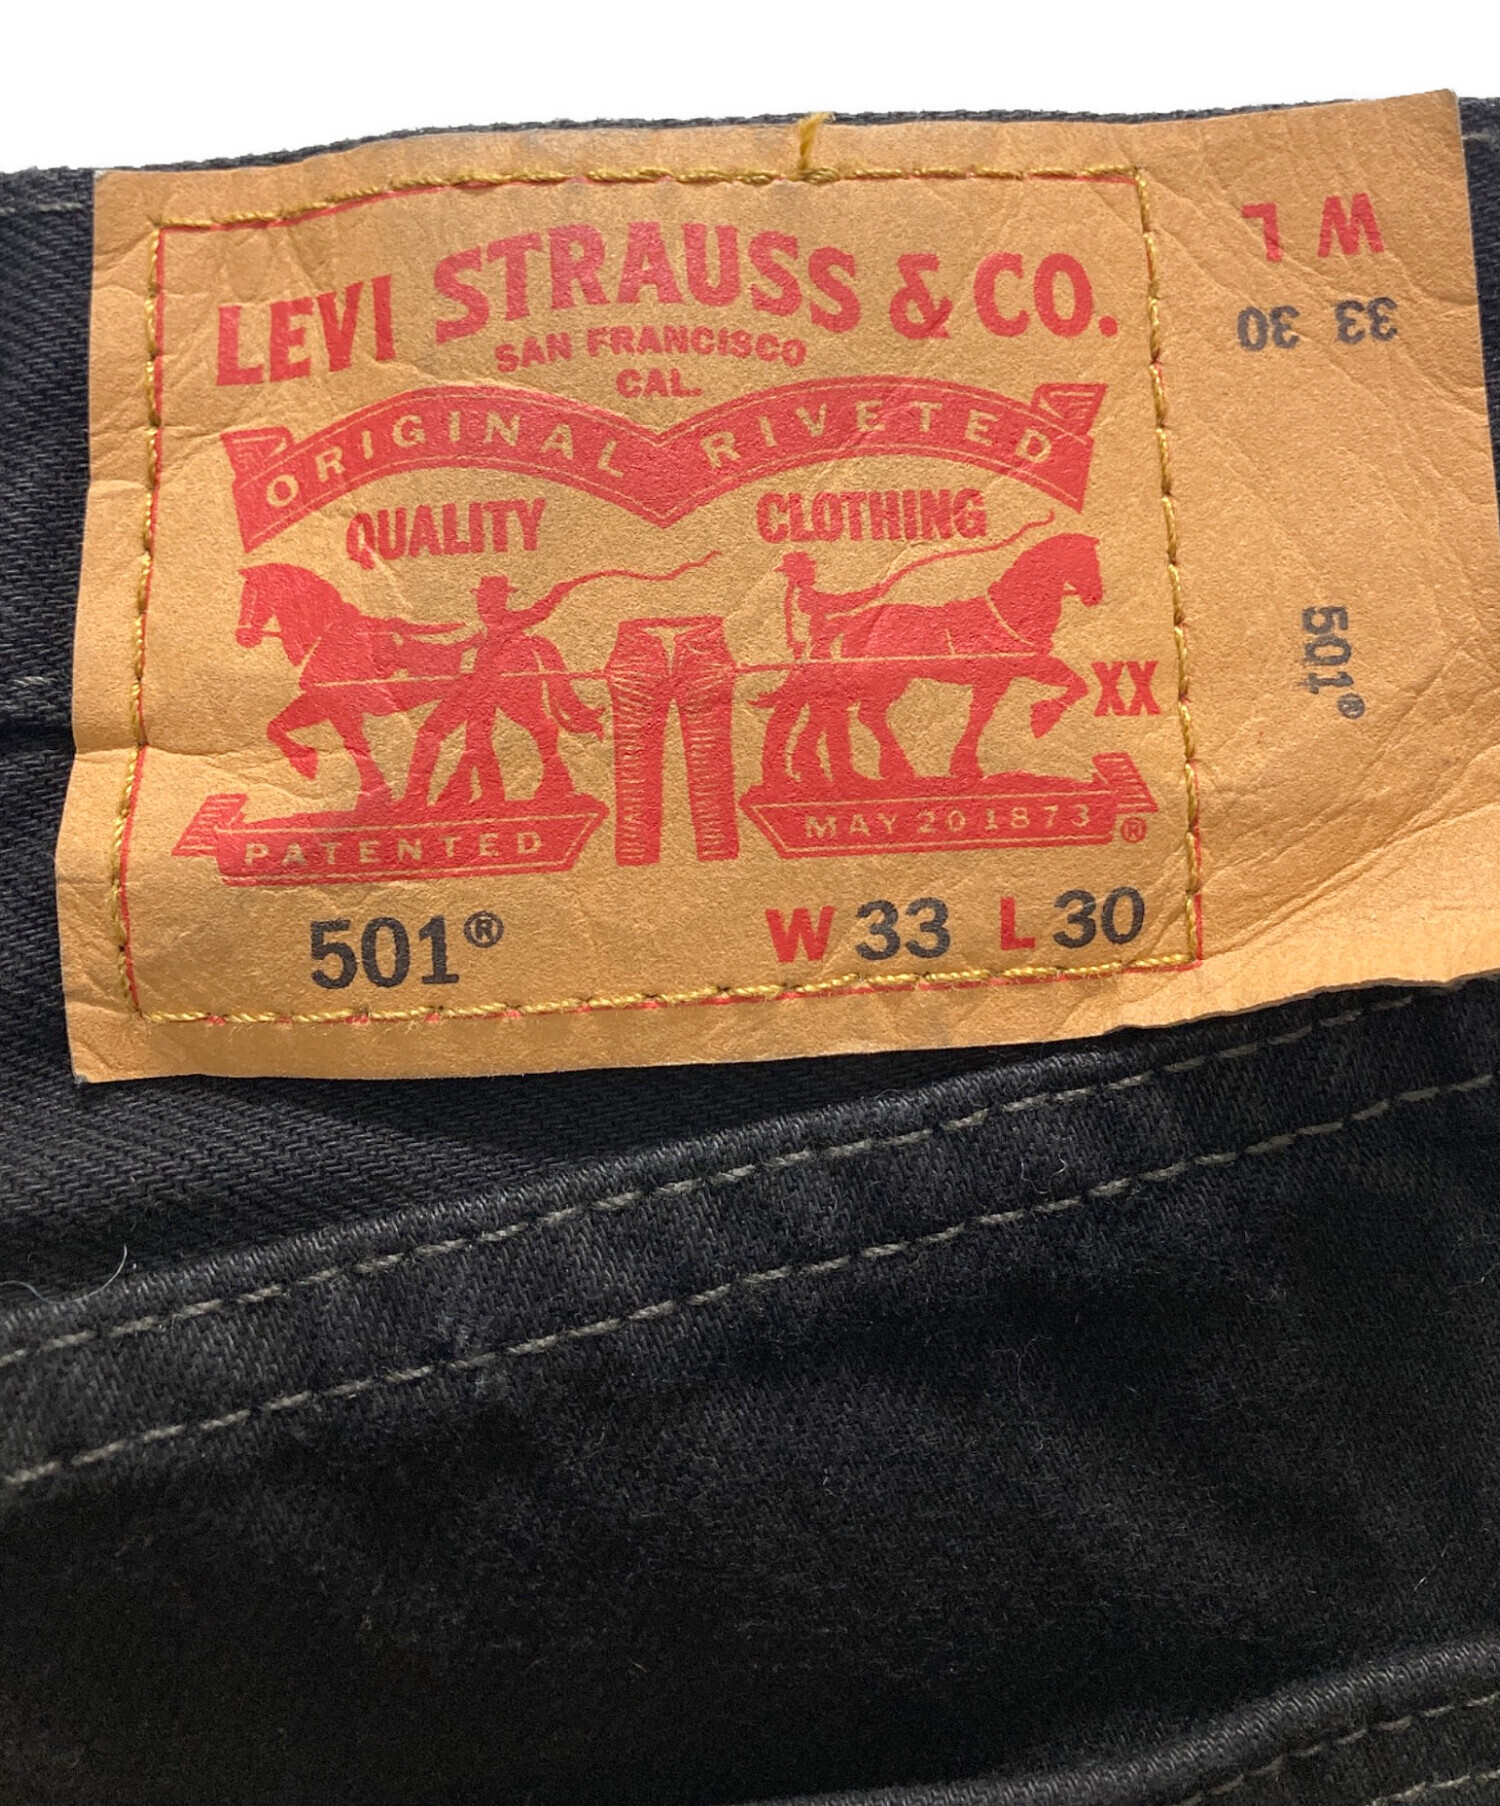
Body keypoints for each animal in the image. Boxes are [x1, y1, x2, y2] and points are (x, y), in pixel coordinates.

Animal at [235, 563, 470, 808]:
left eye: (253, 597)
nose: (243, 636)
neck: (327, 634)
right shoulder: (322, 702)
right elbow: (276, 726)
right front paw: (307, 763)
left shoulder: (339, 705)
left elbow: (356, 745)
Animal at [778, 534, 1104, 786]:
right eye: (1086, 560)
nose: (1095, 596)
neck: (1010, 612)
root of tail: (855, 621)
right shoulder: (999, 676)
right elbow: (982, 715)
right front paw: (1040, 720)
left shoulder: (1010, 673)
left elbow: (1075, 684)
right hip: (887, 678)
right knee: (860, 712)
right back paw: (886, 770)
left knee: (845, 709)